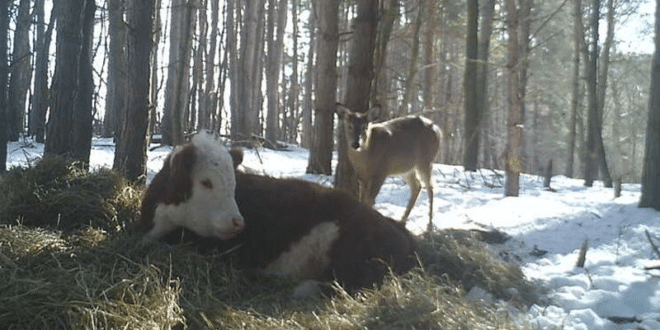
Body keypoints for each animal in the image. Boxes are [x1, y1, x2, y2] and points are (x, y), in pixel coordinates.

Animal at [338, 104, 440, 232]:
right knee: (417, 186)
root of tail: (437, 129)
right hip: (406, 168)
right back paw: (402, 221)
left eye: (364, 127)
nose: (356, 144)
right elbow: (362, 199)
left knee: (430, 187)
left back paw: (429, 226)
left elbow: (369, 200)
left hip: (425, 160)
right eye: (349, 126)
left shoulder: (381, 172)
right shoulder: (362, 176)